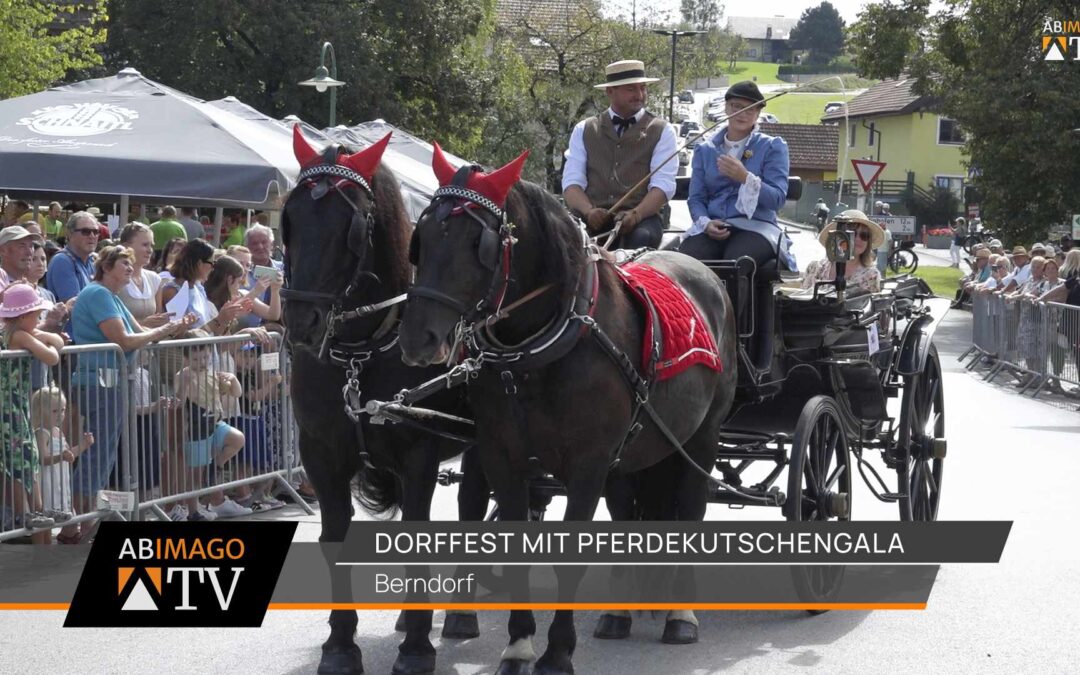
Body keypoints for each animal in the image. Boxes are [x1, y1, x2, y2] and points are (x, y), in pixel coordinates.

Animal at [280, 126, 488, 673]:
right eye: (290, 219)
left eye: (351, 226)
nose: (301, 323)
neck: (360, 352)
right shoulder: (321, 456)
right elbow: (335, 540)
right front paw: (339, 643)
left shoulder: (417, 457)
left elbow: (418, 540)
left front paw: (416, 646)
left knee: (476, 508)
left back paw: (460, 613)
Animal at [401, 146, 738, 673]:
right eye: (424, 236)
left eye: (478, 242)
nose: (419, 339)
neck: (539, 351)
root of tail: (707, 274)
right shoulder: (503, 458)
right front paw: (519, 645)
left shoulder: (588, 465)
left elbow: (571, 558)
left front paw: (558, 651)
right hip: (638, 449)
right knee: (627, 514)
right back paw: (621, 612)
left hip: (700, 439)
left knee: (691, 507)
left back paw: (680, 614)